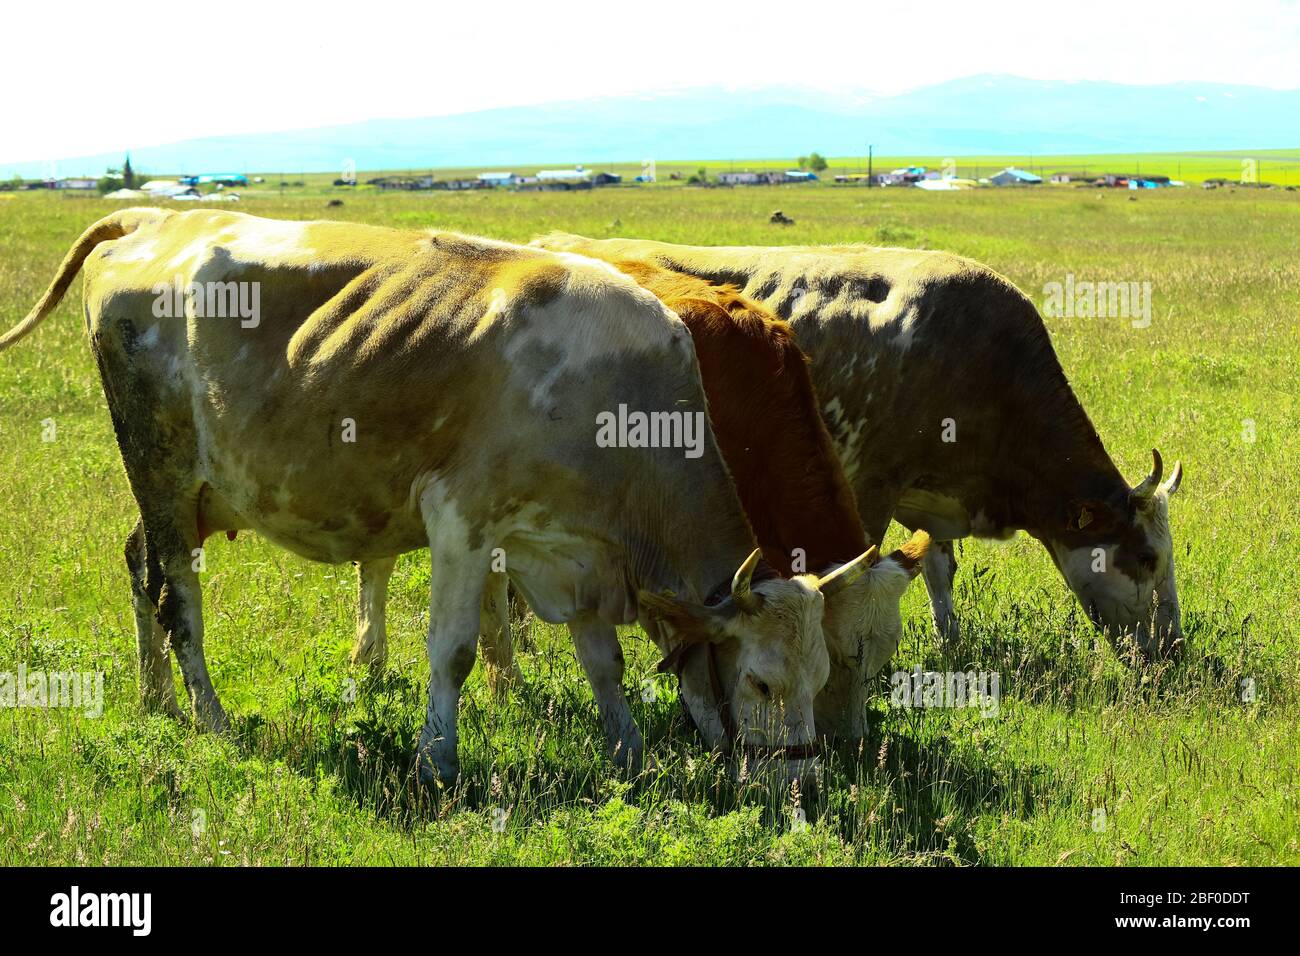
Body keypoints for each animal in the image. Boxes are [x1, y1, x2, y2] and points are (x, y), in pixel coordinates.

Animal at [533, 235, 1185, 660]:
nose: (1175, 645)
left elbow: (939, 571)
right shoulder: (871, 483)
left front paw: (951, 644)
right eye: (1147, 557)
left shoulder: (932, 496)